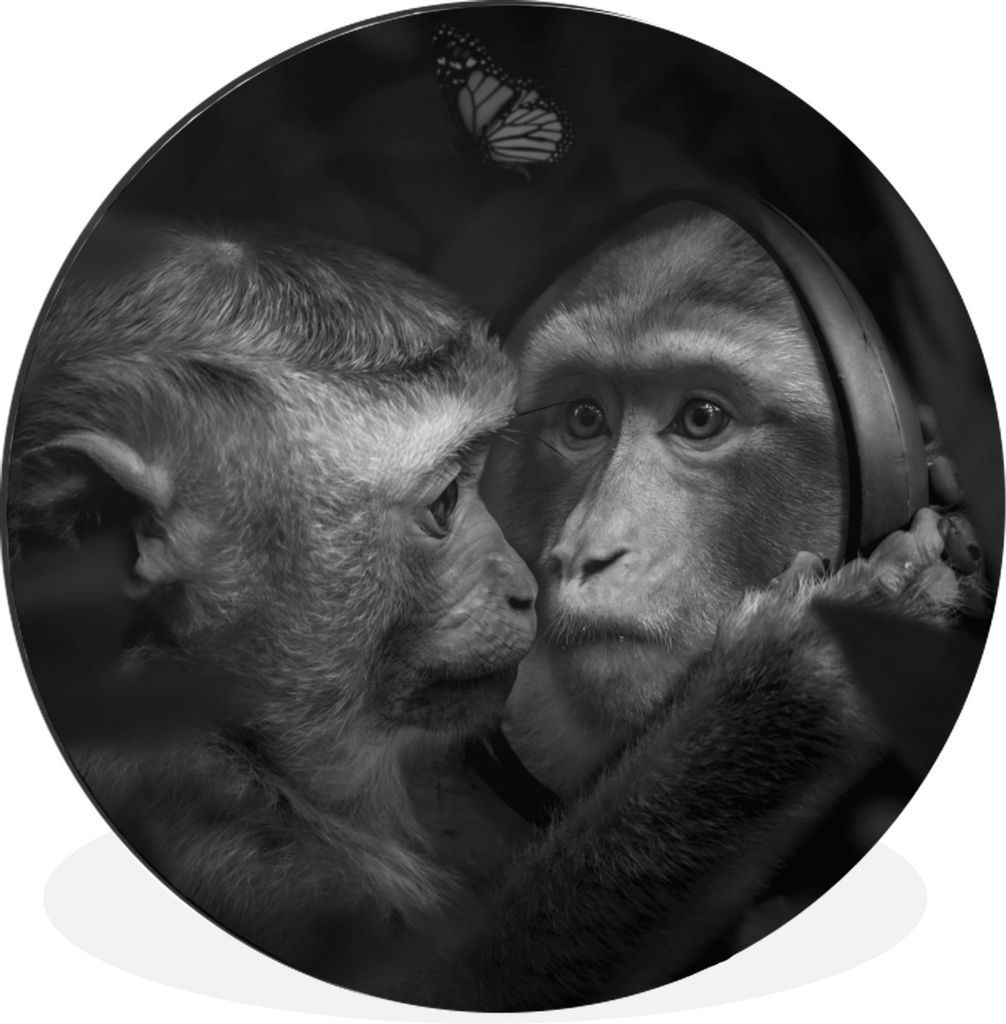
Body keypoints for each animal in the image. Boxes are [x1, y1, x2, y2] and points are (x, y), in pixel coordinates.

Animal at [6, 214, 965, 1010]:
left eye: (701, 419)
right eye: (584, 419)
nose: (551, 567)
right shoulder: (204, 821)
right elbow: (450, 989)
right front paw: (798, 678)